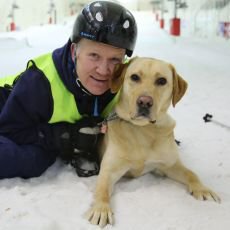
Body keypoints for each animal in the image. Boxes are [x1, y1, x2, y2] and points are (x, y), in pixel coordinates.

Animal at [85, 57, 220, 228]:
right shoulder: (109, 170)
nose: (144, 102)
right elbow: (101, 189)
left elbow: (191, 173)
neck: (143, 130)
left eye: (162, 80)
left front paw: (202, 189)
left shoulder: (169, 165)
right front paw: (101, 209)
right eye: (135, 77)